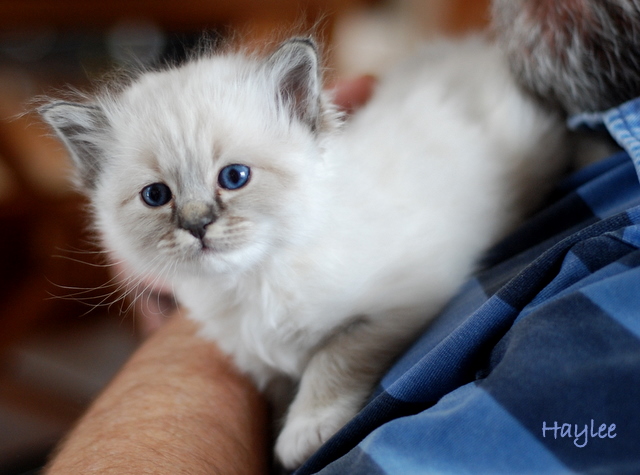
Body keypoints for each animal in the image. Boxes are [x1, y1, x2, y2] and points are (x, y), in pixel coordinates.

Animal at [41, 36, 568, 468]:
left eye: (234, 177)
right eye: (156, 196)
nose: (196, 225)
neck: (254, 282)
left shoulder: (404, 299)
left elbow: (332, 358)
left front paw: (304, 432)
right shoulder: (256, 358)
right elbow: (279, 390)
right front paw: (280, 435)